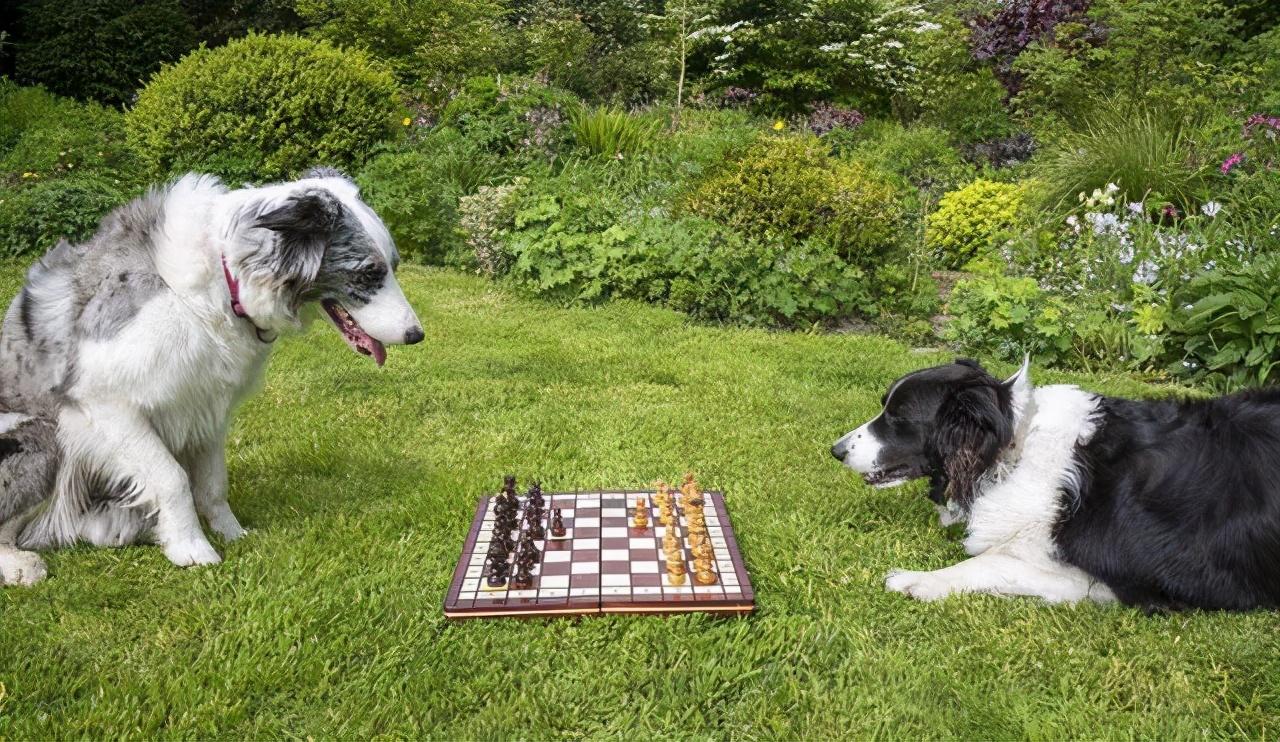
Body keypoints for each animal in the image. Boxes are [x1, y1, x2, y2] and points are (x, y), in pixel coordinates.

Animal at [0, 167, 424, 585]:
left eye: (393, 266)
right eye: (370, 273)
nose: (416, 335)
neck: (221, 282)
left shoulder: (206, 406)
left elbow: (213, 484)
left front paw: (231, 532)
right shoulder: (104, 401)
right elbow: (171, 478)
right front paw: (192, 547)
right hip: (42, 437)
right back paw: (22, 565)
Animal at [834, 358, 1280, 608]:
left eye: (898, 416)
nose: (836, 450)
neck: (1014, 446)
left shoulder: (1122, 578)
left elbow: (991, 562)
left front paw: (919, 580)